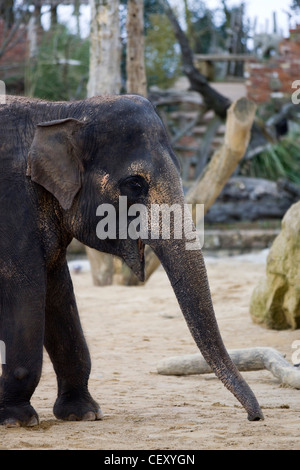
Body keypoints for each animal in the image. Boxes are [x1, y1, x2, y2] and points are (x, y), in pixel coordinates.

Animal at [0, 94, 262, 426]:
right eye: (135, 184)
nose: (256, 417)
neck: (60, 110)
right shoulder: (12, 207)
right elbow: (25, 289)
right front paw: (17, 420)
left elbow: (58, 291)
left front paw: (83, 414)